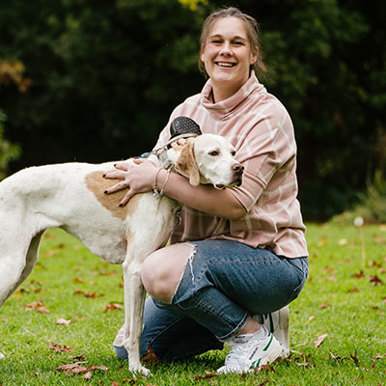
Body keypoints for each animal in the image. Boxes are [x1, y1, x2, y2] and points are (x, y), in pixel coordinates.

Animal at [0, 134, 243, 376]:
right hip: (12, 267)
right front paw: (136, 369)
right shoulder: (134, 268)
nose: (239, 169)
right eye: (213, 153)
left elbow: (136, 324)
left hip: (25, 265)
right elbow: (134, 331)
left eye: (233, 153)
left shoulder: (141, 271)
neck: (164, 171)